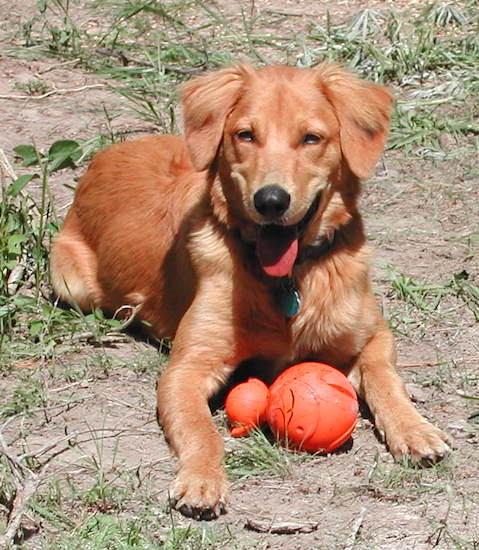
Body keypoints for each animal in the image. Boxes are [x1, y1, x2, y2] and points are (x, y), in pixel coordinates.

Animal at [49, 63, 450, 520]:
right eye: (246, 135)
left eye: (311, 138)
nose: (271, 201)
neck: (291, 278)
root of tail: (104, 155)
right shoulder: (185, 369)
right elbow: (202, 430)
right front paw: (202, 480)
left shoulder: (373, 334)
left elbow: (385, 379)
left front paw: (415, 429)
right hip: (72, 281)